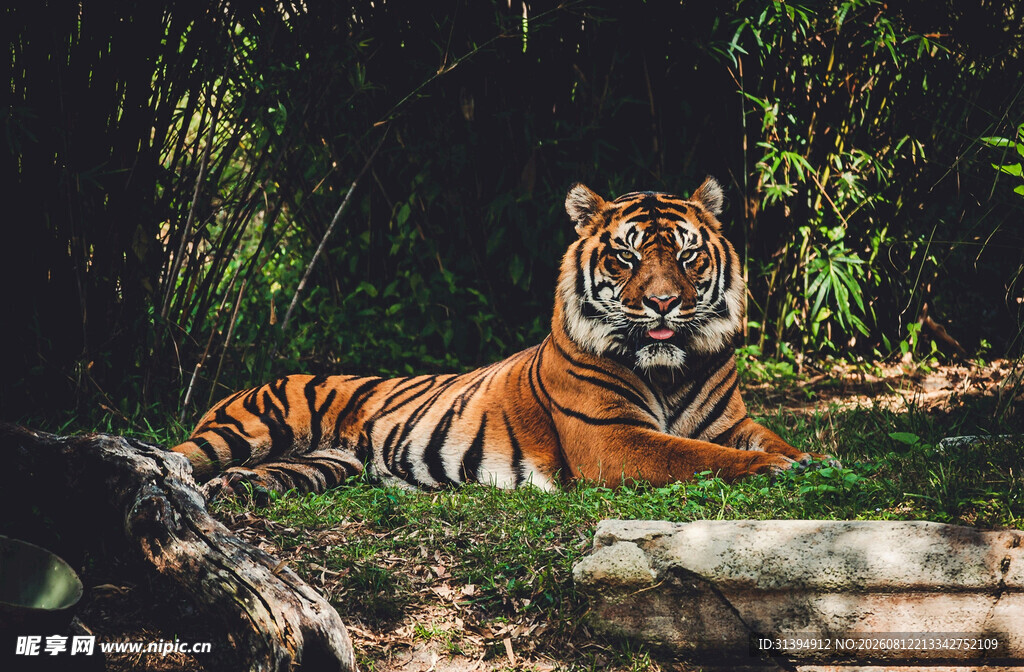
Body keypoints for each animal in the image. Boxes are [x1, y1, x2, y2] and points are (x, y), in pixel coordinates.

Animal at [173, 177, 827, 498]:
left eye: (689, 256)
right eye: (625, 256)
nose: (663, 302)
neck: (670, 369)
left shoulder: (732, 423)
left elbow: (766, 441)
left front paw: (816, 462)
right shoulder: (613, 439)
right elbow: (701, 458)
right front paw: (780, 471)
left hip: (324, 463)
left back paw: (239, 490)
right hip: (245, 430)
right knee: (179, 457)